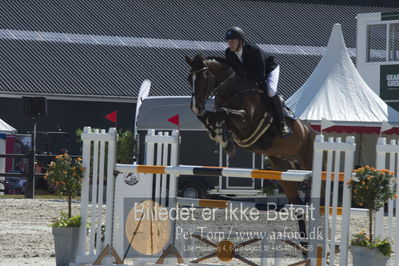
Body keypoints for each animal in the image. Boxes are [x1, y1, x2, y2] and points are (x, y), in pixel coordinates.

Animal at [185, 53, 318, 255]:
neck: (231, 89)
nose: (195, 107)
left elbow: (223, 113)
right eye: (189, 79)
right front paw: (219, 135)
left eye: (203, 77)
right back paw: (304, 248)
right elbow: (212, 116)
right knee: (299, 207)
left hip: (309, 162)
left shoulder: (247, 123)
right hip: (284, 171)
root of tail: (313, 132)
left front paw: (224, 138)